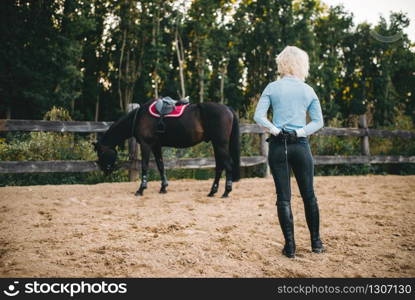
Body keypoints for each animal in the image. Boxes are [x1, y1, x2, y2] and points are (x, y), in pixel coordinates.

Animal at [94, 101, 240, 198]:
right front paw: (163, 188)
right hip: (216, 145)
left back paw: (226, 191)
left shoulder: (146, 145)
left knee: (228, 165)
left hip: (220, 144)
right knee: (219, 167)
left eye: (101, 152)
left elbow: (145, 166)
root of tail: (227, 108)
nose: (105, 171)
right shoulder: (156, 146)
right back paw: (212, 192)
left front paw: (141, 189)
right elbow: (160, 166)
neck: (139, 117)